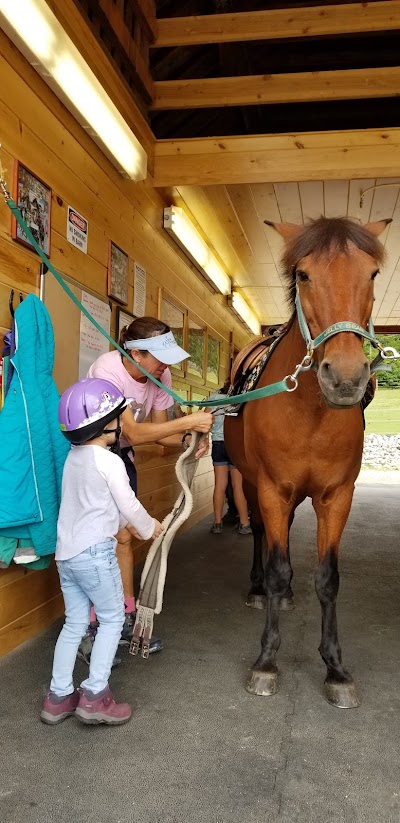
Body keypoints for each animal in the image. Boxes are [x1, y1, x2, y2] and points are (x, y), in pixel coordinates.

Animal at [225, 217, 390, 708]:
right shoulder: (272, 489)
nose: (347, 377)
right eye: (303, 275)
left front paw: (335, 667)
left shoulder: (336, 496)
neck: (311, 410)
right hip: (251, 482)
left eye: (372, 273)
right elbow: (277, 567)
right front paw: (266, 660)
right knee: (263, 535)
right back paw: (259, 589)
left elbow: (328, 578)